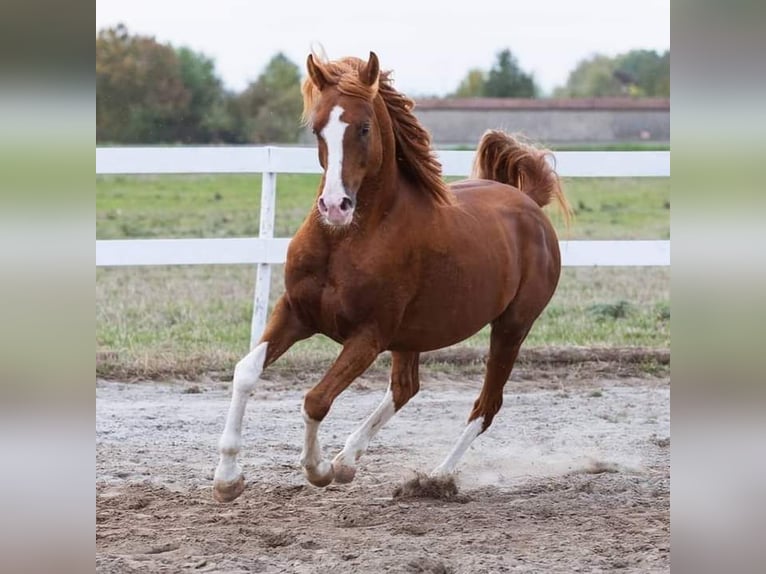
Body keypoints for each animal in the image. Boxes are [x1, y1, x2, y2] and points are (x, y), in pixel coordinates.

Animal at [214, 54, 568, 504]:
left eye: (364, 127)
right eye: (317, 128)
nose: (335, 206)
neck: (344, 241)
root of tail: (529, 204)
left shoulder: (368, 335)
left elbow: (316, 400)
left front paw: (317, 469)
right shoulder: (296, 312)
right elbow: (246, 372)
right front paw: (228, 478)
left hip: (512, 326)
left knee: (486, 406)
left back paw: (435, 478)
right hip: (413, 334)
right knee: (405, 387)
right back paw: (349, 461)